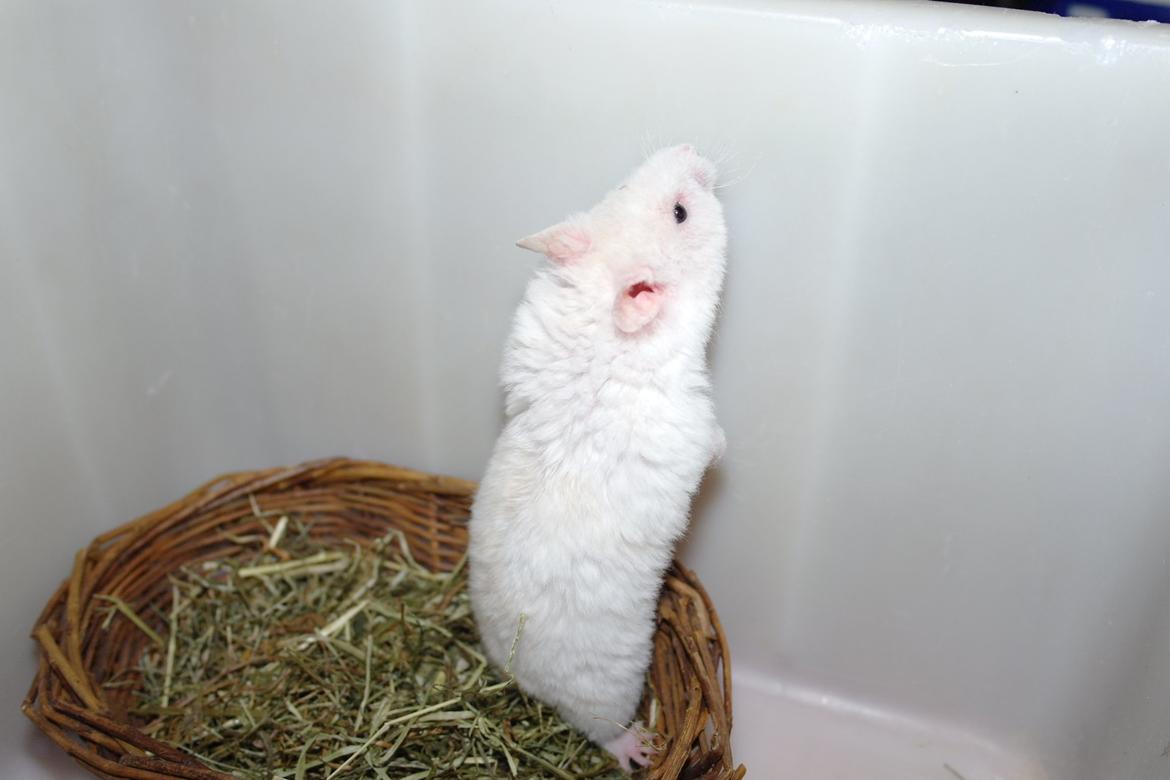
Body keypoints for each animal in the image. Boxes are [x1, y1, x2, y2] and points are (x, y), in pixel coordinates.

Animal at [468, 144, 727, 772]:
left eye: (621, 183)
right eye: (681, 213)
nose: (692, 147)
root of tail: (519, 678)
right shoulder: (692, 422)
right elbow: (714, 441)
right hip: (609, 686)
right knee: (598, 728)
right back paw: (638, 748)